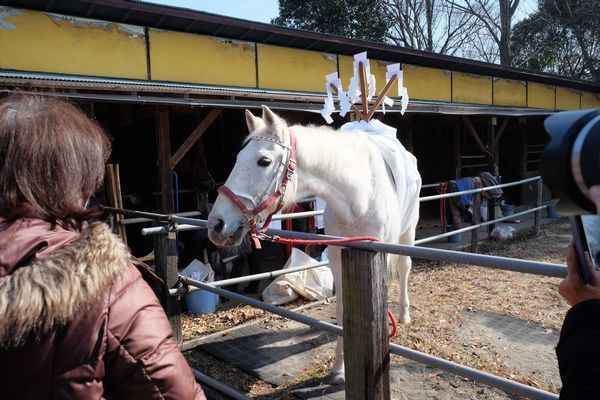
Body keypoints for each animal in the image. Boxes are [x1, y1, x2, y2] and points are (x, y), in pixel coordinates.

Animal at [206, 104, 422, 382]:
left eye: (264, 161)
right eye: (238, 158)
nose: (216, 224)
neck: (359, 196)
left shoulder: (378, 254)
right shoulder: (339, 255)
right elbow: (342, 311)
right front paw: (339, 368)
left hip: (409, 230)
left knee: (405, 268)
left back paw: (404, 315)